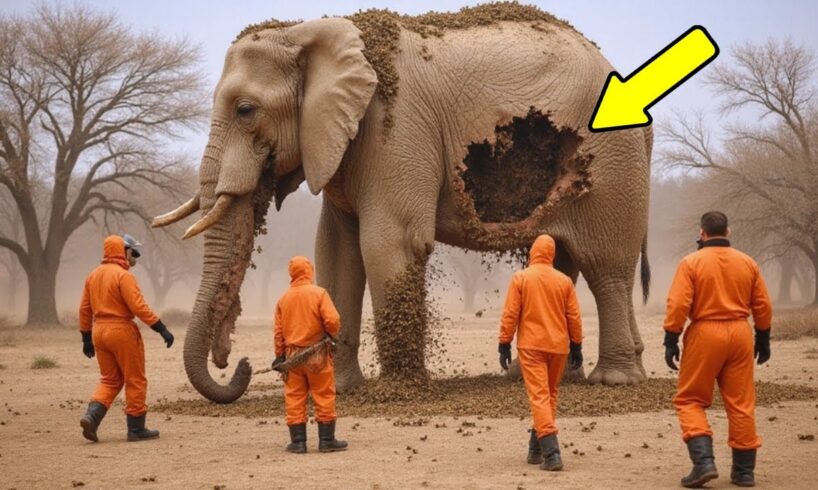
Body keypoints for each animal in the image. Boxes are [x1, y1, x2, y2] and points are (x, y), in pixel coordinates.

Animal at [153, 6, 652, 403]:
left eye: (245, 110)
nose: (237, 364)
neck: (312, 31)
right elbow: (336, 252)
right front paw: (341, 388)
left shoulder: (394, 127)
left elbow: (387, 243)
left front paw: (399, 391)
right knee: (563, 261)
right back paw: (530, 375)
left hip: (611, 164)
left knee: (604, 266)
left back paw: (612, 381)